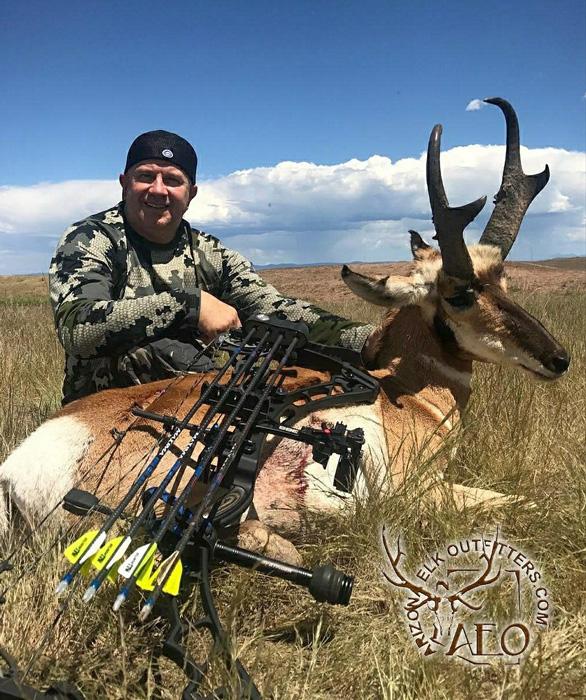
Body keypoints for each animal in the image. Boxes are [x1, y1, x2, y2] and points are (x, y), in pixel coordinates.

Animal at [0, 98, 570, 563]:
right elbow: (526, 502)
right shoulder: (421, 491)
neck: (404, 395)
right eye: (459, 294)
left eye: (505, 279)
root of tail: (20, 466)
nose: (558, 359)